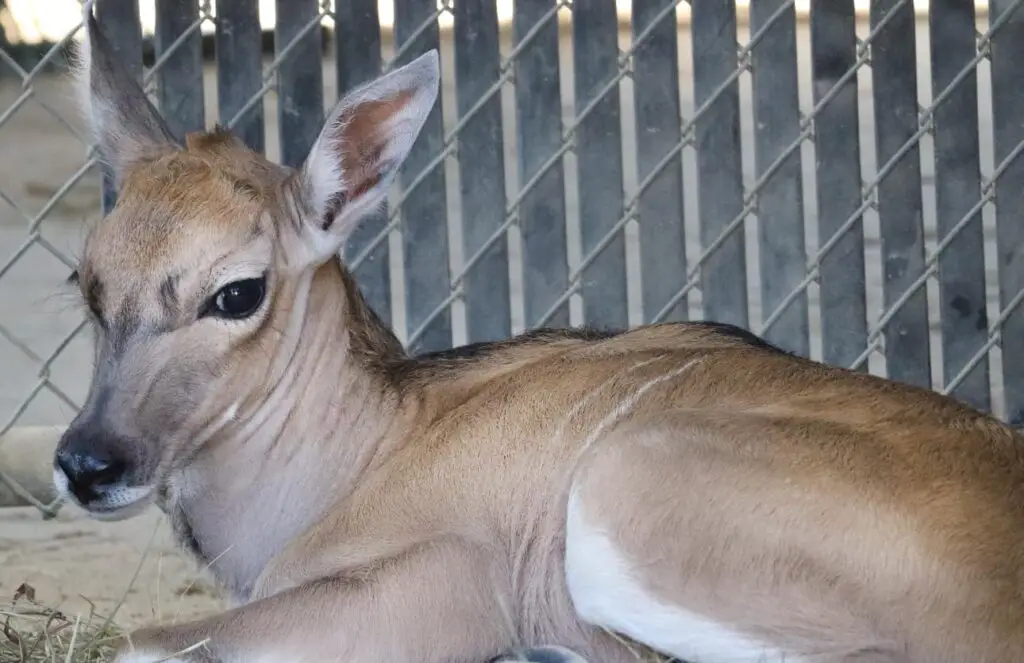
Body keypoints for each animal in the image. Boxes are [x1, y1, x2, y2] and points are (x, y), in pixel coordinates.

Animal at [54, 6, 1024, 663]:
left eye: (238, 291)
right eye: (87, 280)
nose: (87, 461)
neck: (367, 447)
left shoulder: (449, 576)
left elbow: (141, 639)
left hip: (622, 493)